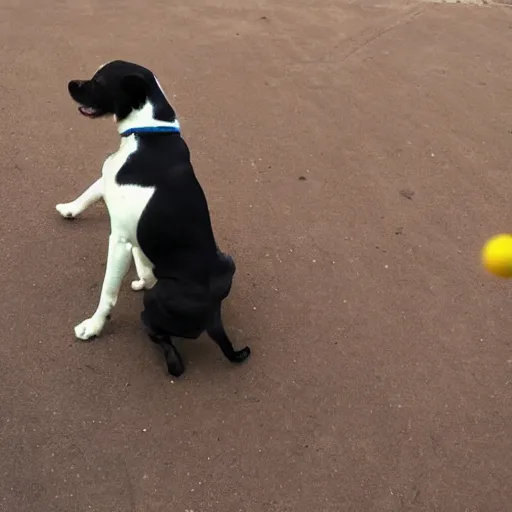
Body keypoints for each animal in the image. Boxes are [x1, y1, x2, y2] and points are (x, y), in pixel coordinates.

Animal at [55, 62, 251, 378]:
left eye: (99, 82)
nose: (70, 84)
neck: (146, 134)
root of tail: (214, 315)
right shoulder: (111, 186)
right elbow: (90, 192)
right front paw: (69, 208)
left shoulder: (118, 239)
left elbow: (107, 291)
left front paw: (93, 326)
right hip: (227, 261)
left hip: (158, 300)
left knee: (169, 348)